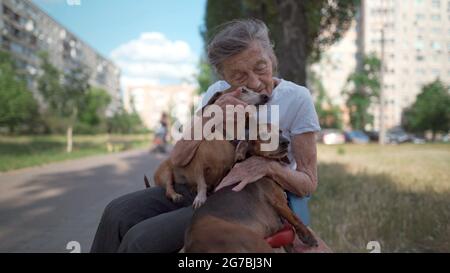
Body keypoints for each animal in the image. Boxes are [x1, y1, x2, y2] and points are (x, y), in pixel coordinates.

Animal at [183, 135, 316, 252]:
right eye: (264, 133)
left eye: (280, 131)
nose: (286, 142)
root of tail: (192, 245)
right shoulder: (279, 202)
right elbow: (294, 217)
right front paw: (308, 236)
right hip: (256, 243)